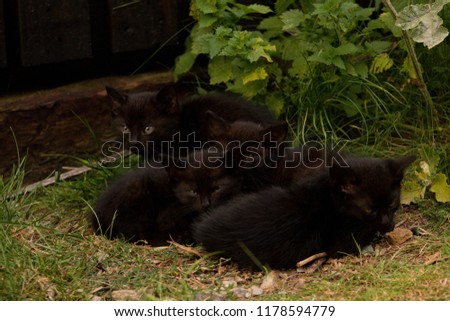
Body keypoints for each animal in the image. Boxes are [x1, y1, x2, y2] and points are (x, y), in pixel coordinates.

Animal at [192, 154, 416, 268]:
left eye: (392, 203)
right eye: (369, 210)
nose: (386, 220)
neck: (327, 195)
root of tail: (203, 230)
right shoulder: (340, 242)